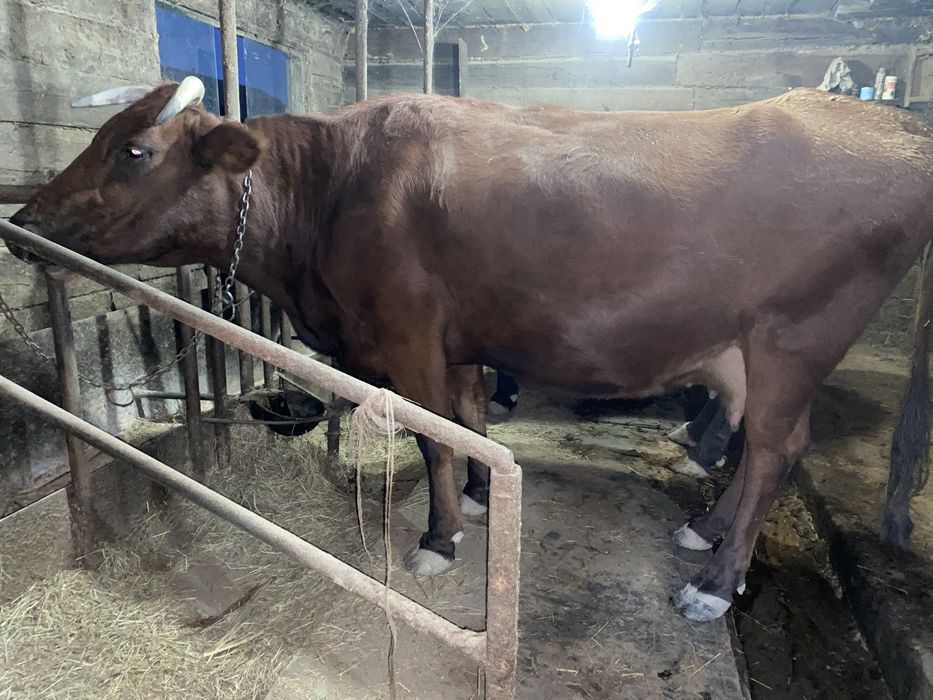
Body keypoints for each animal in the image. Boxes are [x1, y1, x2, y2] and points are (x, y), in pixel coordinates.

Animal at [8, 77, 933, 622]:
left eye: (133, 150)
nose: (25, 221)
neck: (334, 188)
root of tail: (884, 123)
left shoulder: (407, 333)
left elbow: (432, 436)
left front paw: (441, 536)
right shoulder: (457, 340)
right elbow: (470, 421)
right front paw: (485, 499)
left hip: (792, 341)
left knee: (775, 447)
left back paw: (712, 586)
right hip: (746, 353)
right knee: (759, 447)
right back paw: (704, 532)